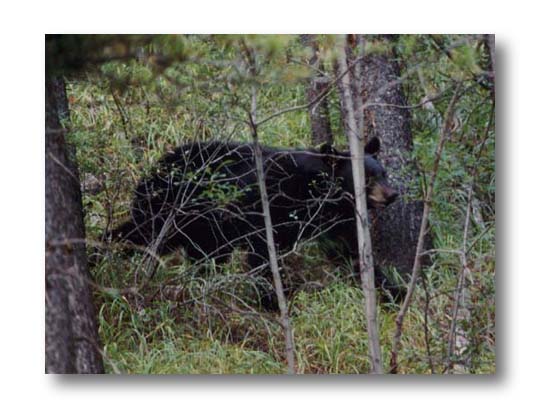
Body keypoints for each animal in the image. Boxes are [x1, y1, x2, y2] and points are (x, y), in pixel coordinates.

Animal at [114, 138, 398, 310]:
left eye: (383, 173)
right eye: (366, 178)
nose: (393, 194)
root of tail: (155, 167)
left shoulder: (336, 222)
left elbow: (353, 253)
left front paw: (393, 293)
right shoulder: (270, 209)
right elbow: (263, 255)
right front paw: (274, 301)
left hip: (206, 230)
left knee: (203, 256)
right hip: (170, 210)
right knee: (141, 233)